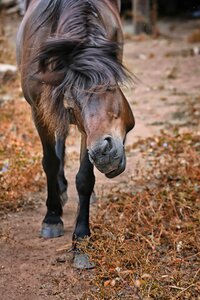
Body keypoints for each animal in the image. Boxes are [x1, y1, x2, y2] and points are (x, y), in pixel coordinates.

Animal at [16, 0, 135, 268]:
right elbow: (50, 162)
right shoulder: (40, 110)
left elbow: (84, 178)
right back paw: (60, 191)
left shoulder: (86, 132)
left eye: (111, 87)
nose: (104, 153)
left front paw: (81, 240)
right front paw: (51, 218)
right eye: (72, 105)